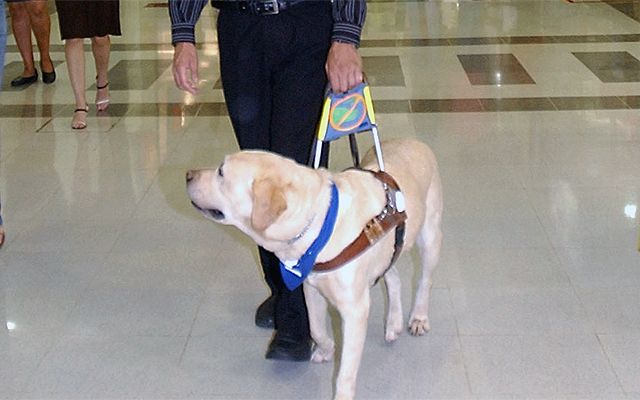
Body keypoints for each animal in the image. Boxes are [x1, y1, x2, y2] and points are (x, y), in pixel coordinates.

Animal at [186, 138, 443, 400]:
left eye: (221, 172)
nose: (188, 175)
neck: (318, 223)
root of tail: (413, 140)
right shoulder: (311, 288)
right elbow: (316, 328)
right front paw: (326, 350)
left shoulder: (355, 309)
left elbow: (346, 371)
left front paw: (342, 394)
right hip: (386, 247)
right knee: (394, 276)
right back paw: (393, 323)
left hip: (429, 236)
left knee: (424, 280)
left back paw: (418, 317)